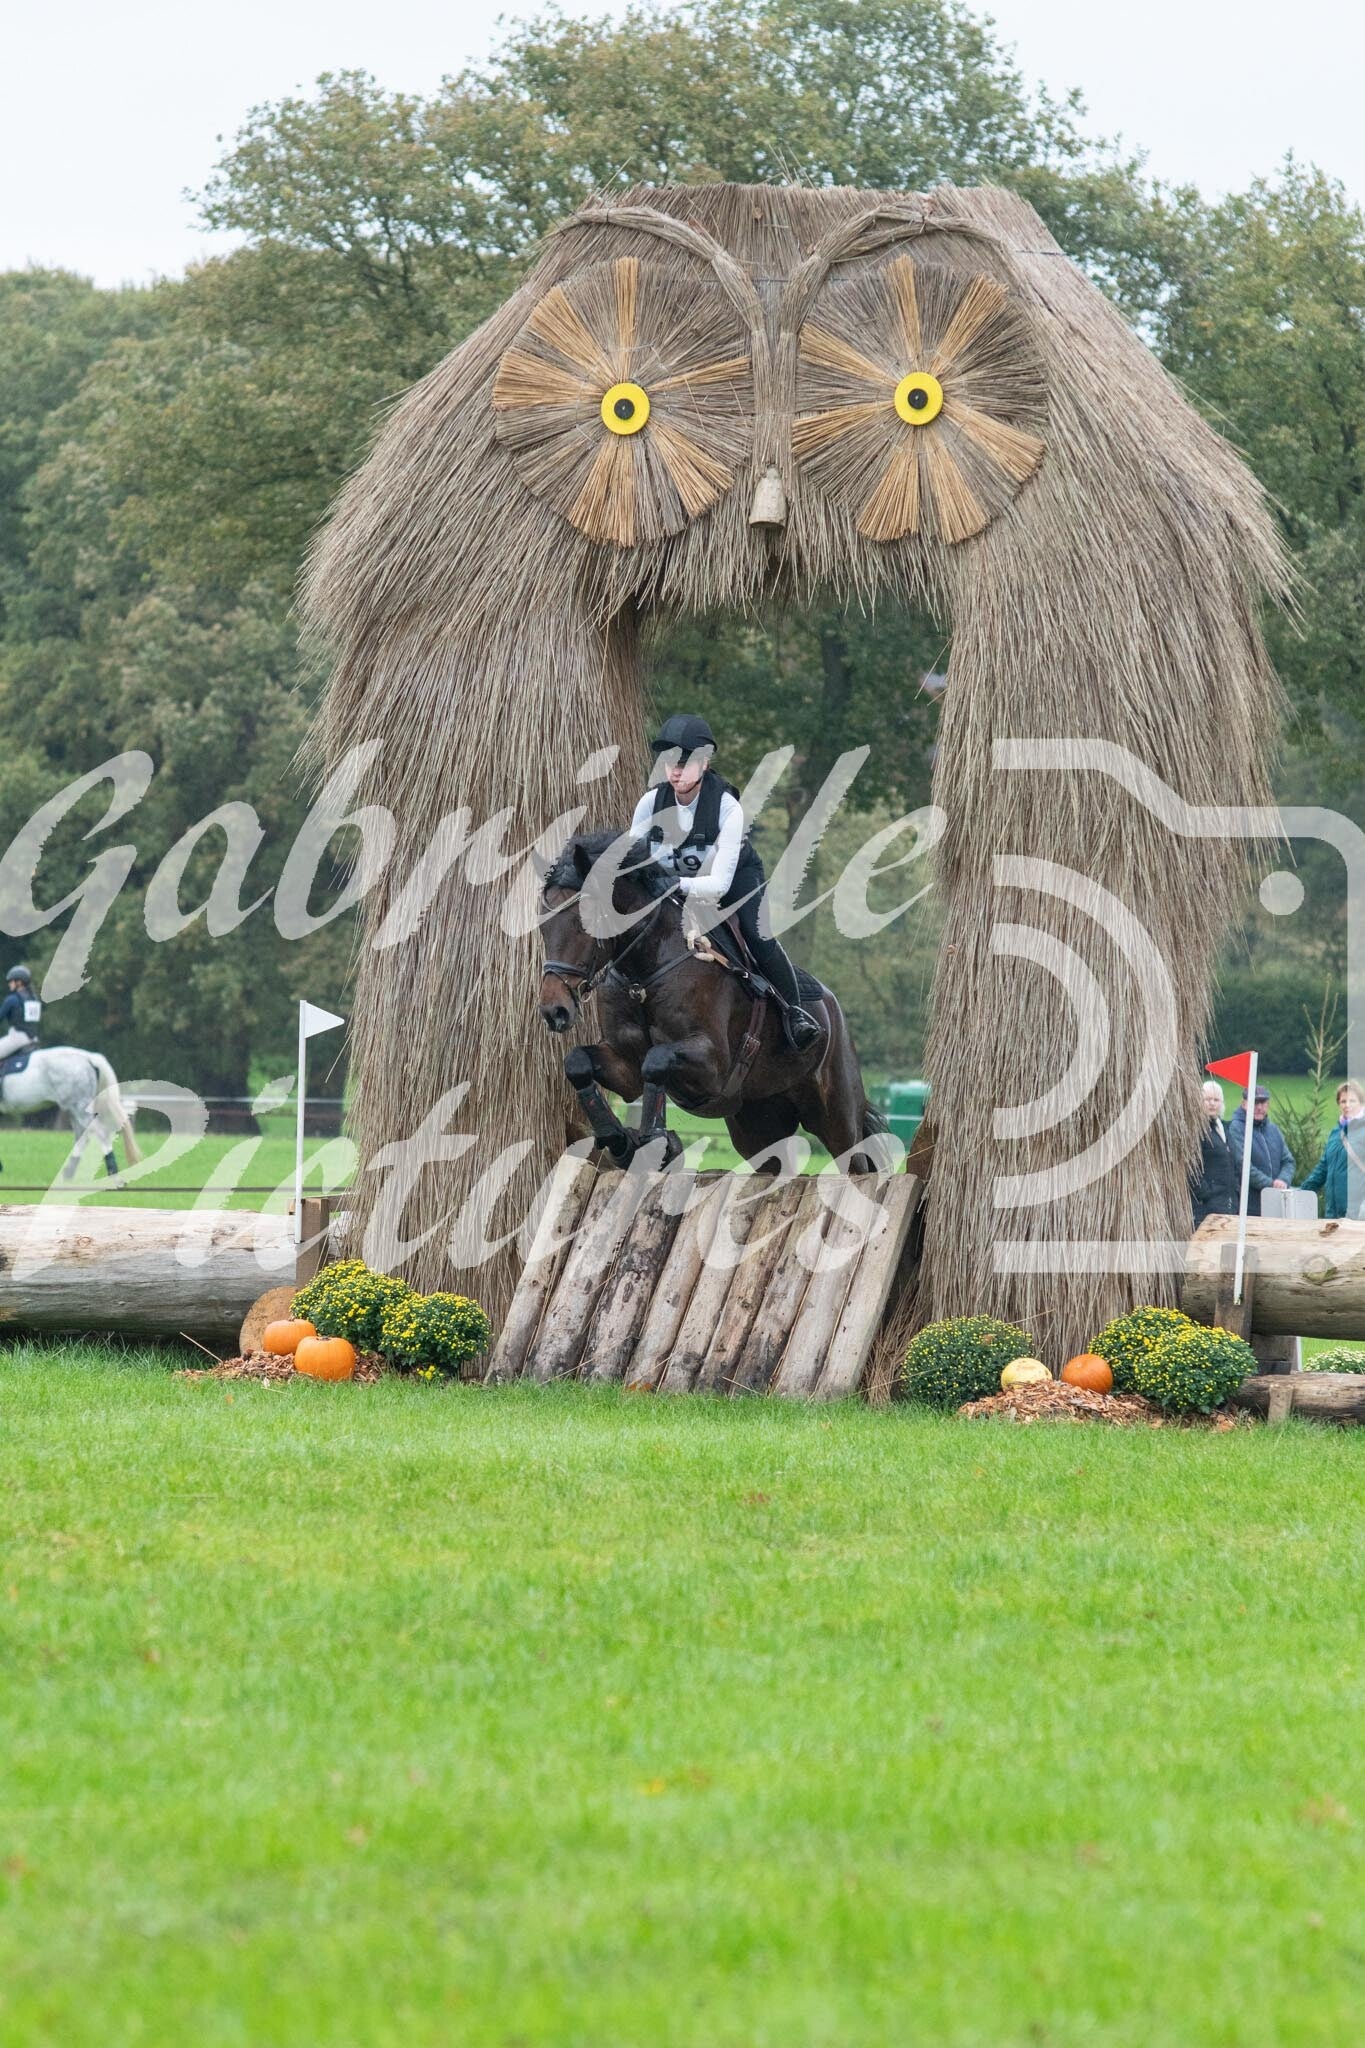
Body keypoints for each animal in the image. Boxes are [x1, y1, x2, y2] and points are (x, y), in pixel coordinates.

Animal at [0, 1046, 142, 1181]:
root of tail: (89, 1057)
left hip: (80, 1108)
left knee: (100, 1134)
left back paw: (114, 1176)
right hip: (74, 1110)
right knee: (83, 1137)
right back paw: (69, 1174)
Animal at [537, 830, 889, 1172]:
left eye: (584, 922)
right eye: (542, 926)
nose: (554, 1010)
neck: (643, 974)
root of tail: (834, 1009)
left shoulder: (713, 1065)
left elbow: (656, 1059)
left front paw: (658, 1144)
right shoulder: (625, 1066)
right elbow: (578, 1062)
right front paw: (621, 1141)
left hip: (836, 1115)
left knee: (856, 1164)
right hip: (758, 1125)